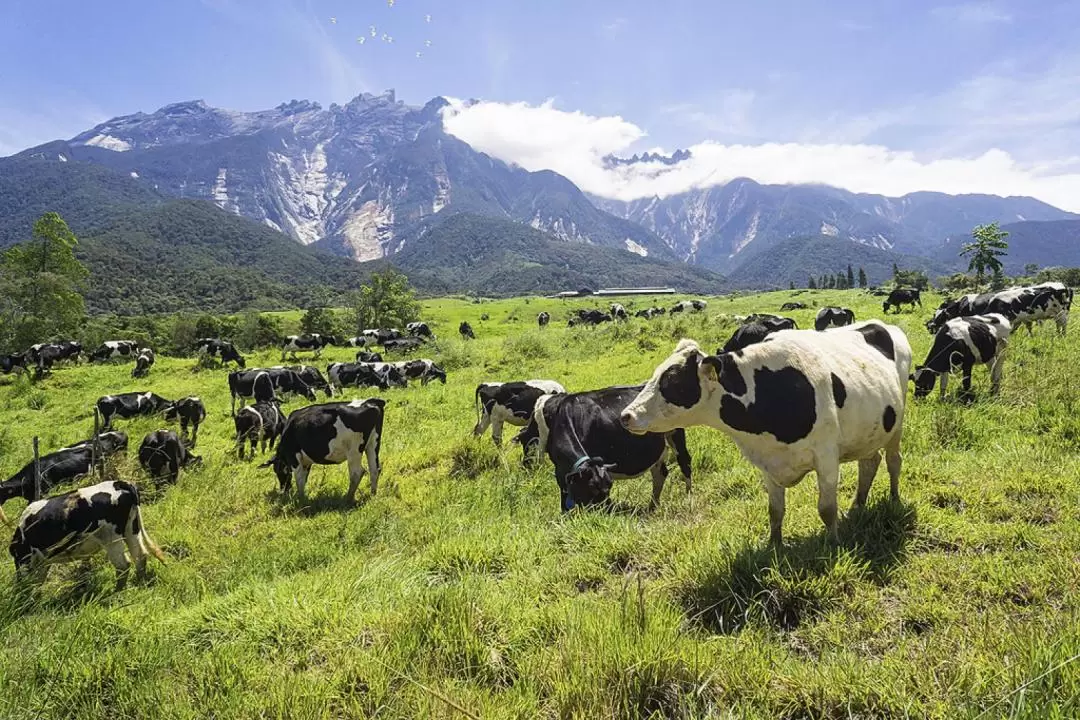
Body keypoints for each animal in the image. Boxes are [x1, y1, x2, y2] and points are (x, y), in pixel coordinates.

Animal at [7, 479, 166, 591]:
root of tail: (119, 483)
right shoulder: (42, 560)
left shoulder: (27, 559)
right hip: (132, 529)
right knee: (140, 556)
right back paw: (140, 584)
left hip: (111, 538)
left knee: (123, 564)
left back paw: (116, 592)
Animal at [511, 382, 691, 511]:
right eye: (592, 489)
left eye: (608, 487)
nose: (525, 464)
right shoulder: (561, 467)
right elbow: (564, 490)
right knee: (660, 473)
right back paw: (652, 506)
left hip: (676, 432)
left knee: (685, 462)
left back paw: (688, 497)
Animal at [622, 323, 915, 544]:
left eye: (672, 380)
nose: (626, 415)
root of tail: (883, 326)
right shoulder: (767, 461)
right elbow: (775, 511)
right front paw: (774, 546)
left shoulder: (826, 456)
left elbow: (827, 509)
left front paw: (833, 543)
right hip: (870, 432)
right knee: (870, 462)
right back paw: (857, 506)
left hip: (896, 426)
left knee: (893, 462)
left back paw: (893, 499)